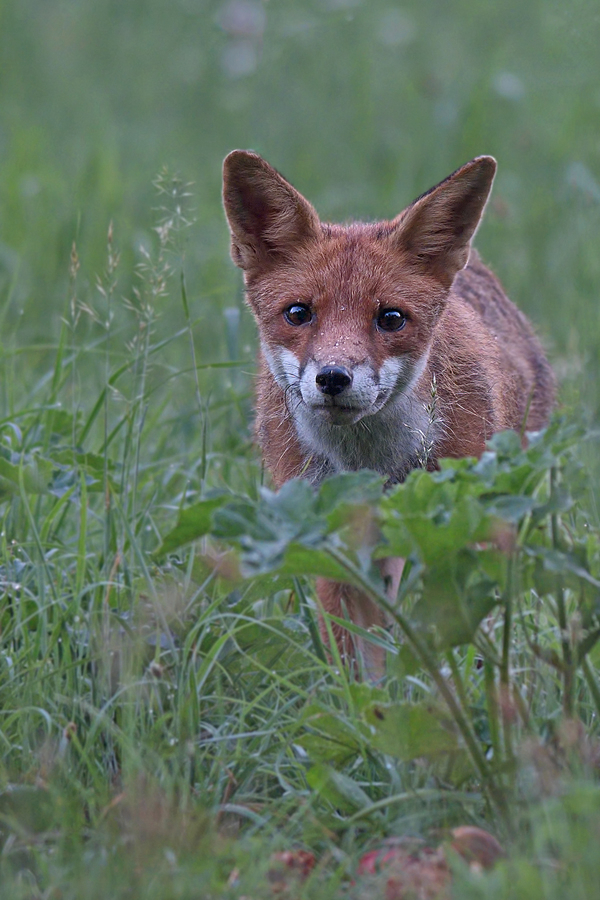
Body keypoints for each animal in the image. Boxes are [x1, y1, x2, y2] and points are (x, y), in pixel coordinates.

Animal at [223, 151, 556, 680]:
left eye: (391, 318)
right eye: (298, 313)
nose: (333, 377)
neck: (373, 465)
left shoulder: (464, 529)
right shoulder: (329, 545)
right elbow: (355, 668)